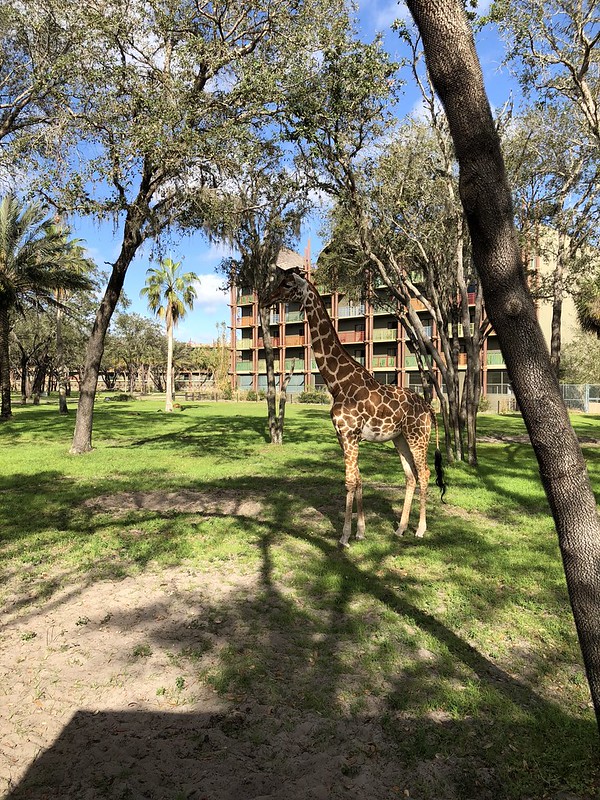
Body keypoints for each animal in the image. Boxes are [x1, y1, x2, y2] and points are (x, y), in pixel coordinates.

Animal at [264, 266, 446, 546]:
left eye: (286, 284)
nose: (265, 299)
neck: (337, 382)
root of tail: (429, 410)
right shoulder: (342, 435)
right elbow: (359, 479)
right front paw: (360, 530)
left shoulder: (350, 434)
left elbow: (350, 481)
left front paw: (345, 536)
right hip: (400, 438)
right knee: (410, 476)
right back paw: (400, 528)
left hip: (418, 437)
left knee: (424, 473)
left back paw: (420, 529)